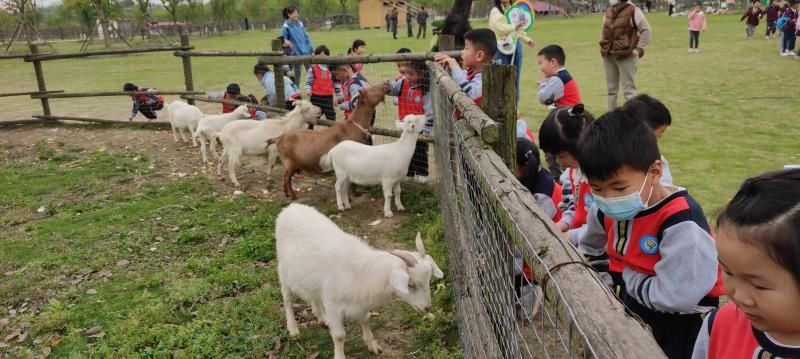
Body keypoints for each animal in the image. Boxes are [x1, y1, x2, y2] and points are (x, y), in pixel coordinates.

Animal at [276, 202, 444, 359]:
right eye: (411, 284)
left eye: (428, 280)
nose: (427, 308)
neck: (362, 272)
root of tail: (290, 207)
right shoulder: (333, 305)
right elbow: (339, 336)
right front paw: (340, 355)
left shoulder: (361, 300)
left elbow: (366, 320)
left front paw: (372, 345)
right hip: (283, 269)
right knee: (287, 297)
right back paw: (293, 329)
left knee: (313, 295)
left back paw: (322, 318)